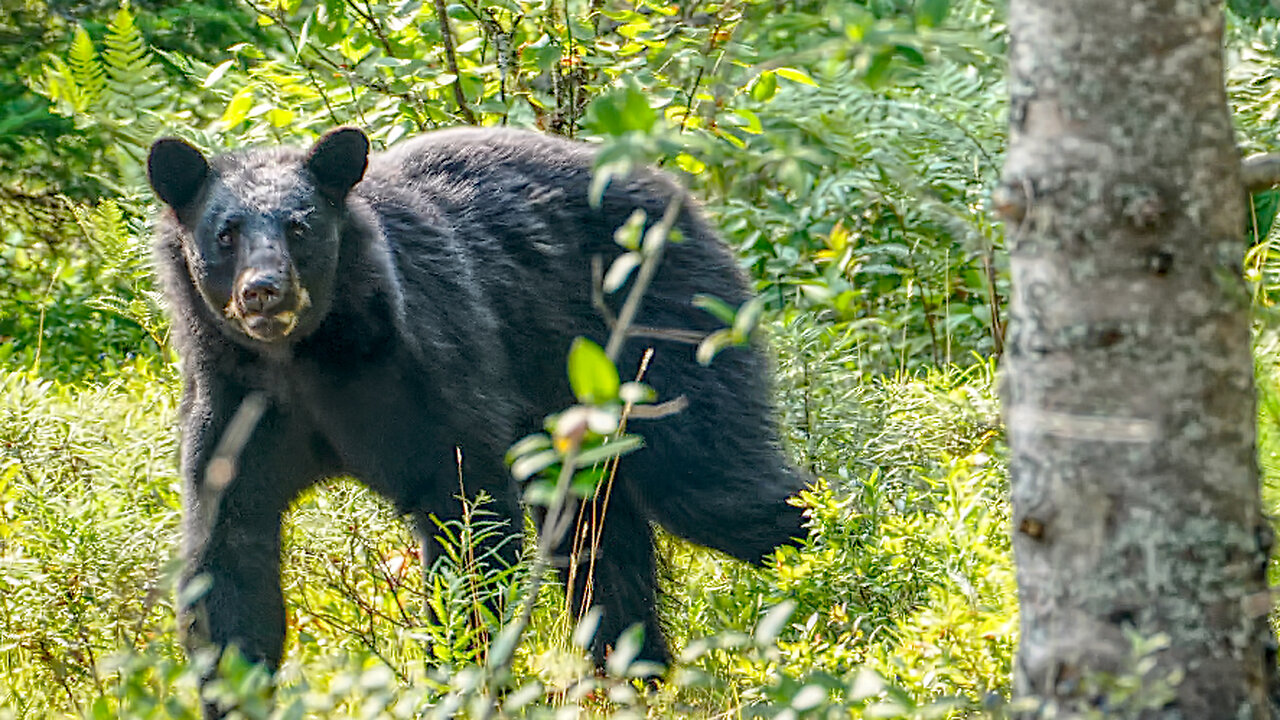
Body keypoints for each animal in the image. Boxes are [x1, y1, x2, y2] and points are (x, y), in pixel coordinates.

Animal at [146, 126, 807, 697]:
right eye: (225, 232)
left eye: (300, 226)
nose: (264, 291)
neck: (303, 359)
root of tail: (674, 189)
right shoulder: (232, 404)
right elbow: (229, 551)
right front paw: (234, 687)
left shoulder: (421, 368)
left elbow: (467, 513)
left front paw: (455, 677)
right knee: (598, 537)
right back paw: (633, 675)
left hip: (663, 331)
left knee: (714, 481)